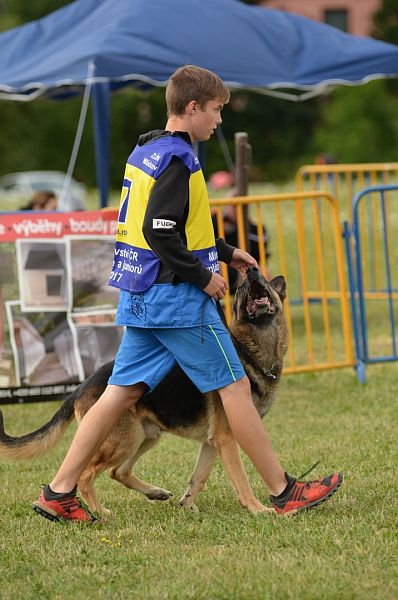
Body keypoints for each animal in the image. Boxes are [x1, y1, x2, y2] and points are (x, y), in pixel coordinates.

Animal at [0, 268, 288, 516]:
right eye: (240, 288)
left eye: (261, 276)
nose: (251, 271)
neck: (250, 351)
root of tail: (82, 385)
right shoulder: (227, 439)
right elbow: (241, 478)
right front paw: (257, 509)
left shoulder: (213, 442)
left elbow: (199, 477)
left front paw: (187, 505)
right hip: (125, 439)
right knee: (86, 474)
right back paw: (99, 512)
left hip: (146, 435)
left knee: (119, 472)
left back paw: (154, 493)